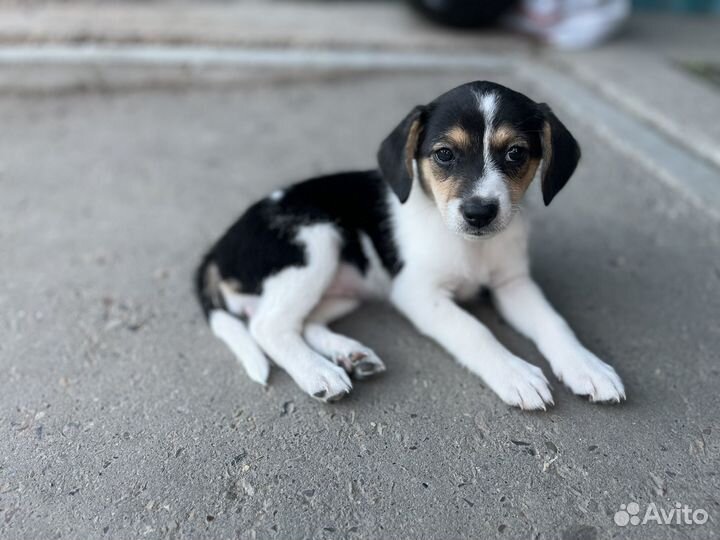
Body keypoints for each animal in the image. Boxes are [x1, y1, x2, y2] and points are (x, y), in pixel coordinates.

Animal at [197, 81, 624, 410]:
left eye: (516, 152)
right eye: (444, 154)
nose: (479, 212)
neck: (470, 247)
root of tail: (217, 249)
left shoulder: (513, 284)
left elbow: (555, 323)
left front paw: (587, 366)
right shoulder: (419, 293)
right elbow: (474, 331)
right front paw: (514, 371)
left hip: (343, 288)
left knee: (305, 322)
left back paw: (350, 354)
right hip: (317, 242)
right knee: (269, 327)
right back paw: (319, 372)